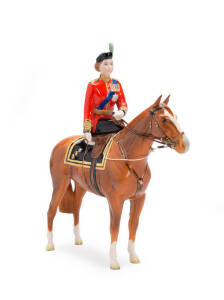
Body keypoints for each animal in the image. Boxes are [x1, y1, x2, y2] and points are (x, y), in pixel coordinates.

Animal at [46, 95, 190, 270]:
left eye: (175, 117)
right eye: (164, 119)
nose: (185, 145)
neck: (128, 155)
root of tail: (60, 144)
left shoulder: (139, 198)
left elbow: (133, 224)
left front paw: (133, 255)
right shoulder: (115, 200)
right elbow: (115, 227)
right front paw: (114, 261)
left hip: (81, 186)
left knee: (76, 209)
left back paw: (78, 239)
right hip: (59, 184)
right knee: (51, 211)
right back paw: (50, 244)